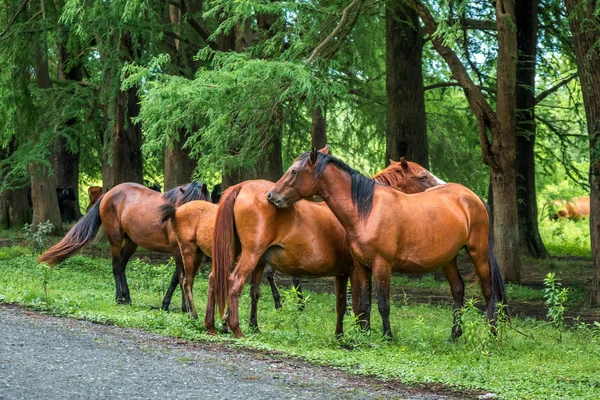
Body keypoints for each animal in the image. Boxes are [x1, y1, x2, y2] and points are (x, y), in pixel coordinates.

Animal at [37, 183, 211, 308]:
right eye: (182, 205)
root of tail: (108, 194)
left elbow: (185, 277)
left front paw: (184, 307)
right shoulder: (177, 250)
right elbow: (179, 278)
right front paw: (173, 305)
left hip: (131, 242)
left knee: (121, 265)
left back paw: (127, 298)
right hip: (115, 239)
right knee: (116, 266)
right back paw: (119, 298)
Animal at [211, 153, 440, 338]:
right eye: (423, 177)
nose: (441, 186)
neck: (362, 210)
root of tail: (242, 186)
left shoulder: (345, 271)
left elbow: (349, 303)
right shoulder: (355, 269)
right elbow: (358, 304)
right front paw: (361, 331)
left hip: (243, 255)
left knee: (227, 282)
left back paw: (225, 324)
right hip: (251, 255)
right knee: (235, 282)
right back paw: (235, 327)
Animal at [268, 148, 506, 340]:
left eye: (294, 172)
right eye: (422, 176)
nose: (272, 196)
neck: (366, 210)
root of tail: (472, 197)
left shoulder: (382, 265)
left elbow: (382, 303)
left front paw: (387, 336)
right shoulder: (361, 266)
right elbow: (364, 303)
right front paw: (364, 334)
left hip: (478, 253)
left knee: (489, 292)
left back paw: (492, 334)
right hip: (449, 258)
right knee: (458, 290)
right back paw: (455, 336)